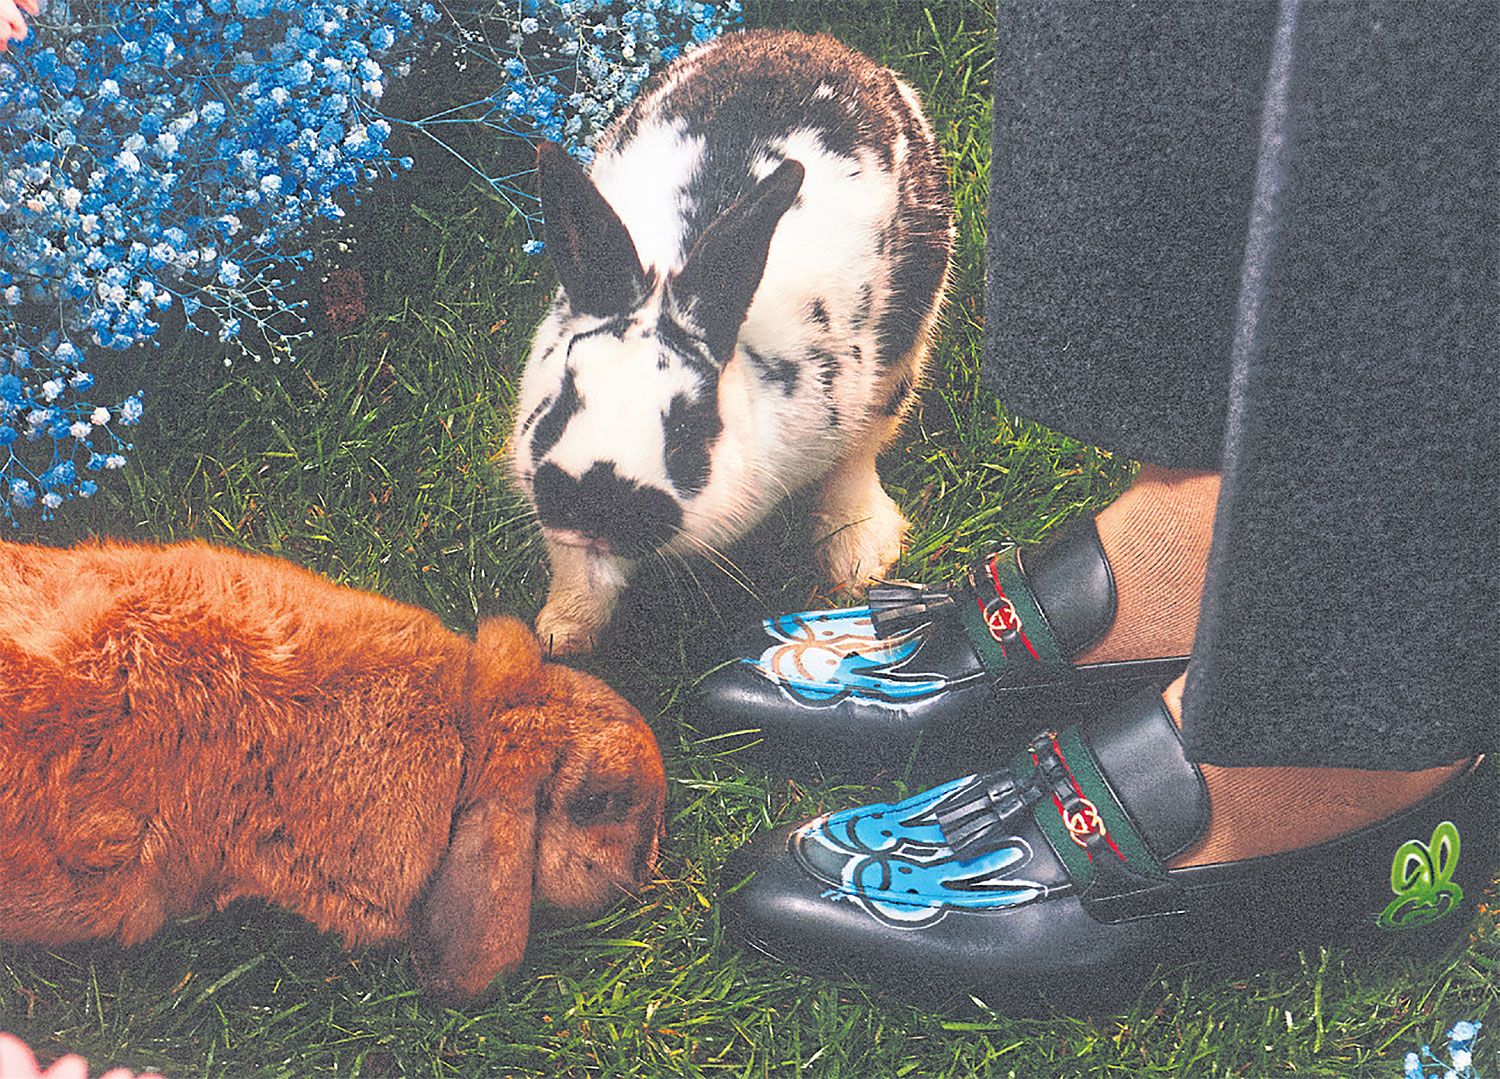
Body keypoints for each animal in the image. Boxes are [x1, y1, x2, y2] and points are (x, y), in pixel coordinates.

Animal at [504, 29, 948, 654]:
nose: (596, 507)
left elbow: (851, 462)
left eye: (689, 428)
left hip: (909, 332)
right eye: (562, 400)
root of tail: (821, 44)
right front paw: (561, 637)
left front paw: (858, 569)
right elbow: (582, 573)